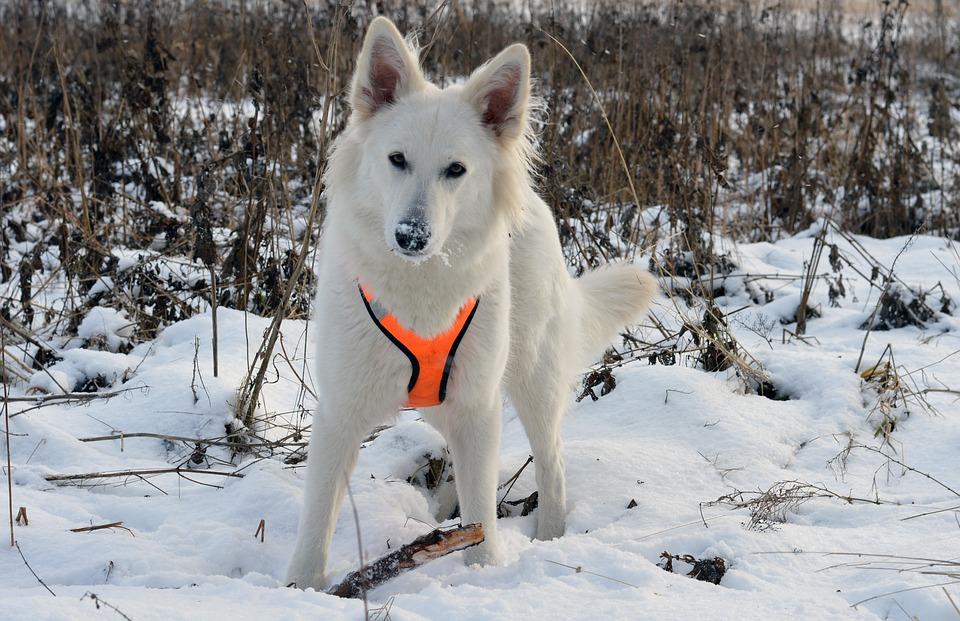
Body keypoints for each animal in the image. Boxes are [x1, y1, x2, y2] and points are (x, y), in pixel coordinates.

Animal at [286, 18, 660, 592]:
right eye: (397, 159)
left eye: (456, 170)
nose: (411, 236)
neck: (421, 290)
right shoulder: (340, 412)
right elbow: (317, 518)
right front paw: (301, 589)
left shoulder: (476, 406)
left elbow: (483, 514)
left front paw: (482, 576)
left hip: (529, 380)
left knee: (550, 463)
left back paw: (549, 536)